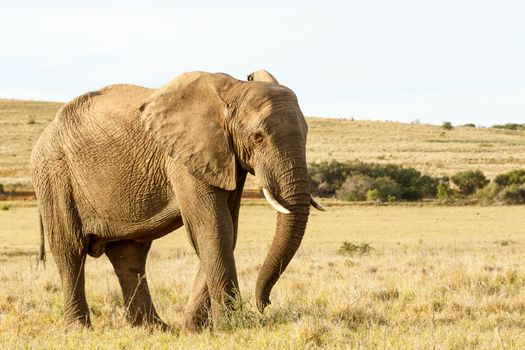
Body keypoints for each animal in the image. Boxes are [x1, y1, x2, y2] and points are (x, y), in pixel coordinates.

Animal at [30, 69, 326, 330]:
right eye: (258, 137)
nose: (265, 304)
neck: (234, 88)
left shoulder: (225, 158)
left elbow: (227, 229)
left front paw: (194, 328)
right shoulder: (186, 158)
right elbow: (212, 228)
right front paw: (231, 326)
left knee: (129, 256)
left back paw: (154, 329)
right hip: (53, 174)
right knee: (70, 252)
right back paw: (79, 329)